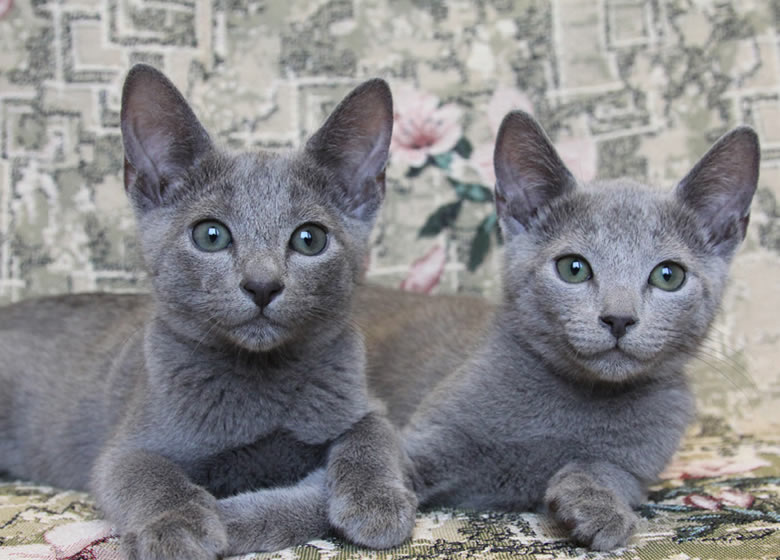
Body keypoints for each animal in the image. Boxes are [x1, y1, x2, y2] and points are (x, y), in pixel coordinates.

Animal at [0, 63, 418, 556]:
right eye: (211, 235)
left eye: (309, 238)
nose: (262, 284)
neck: (260, 379)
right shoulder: (125, 447)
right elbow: (149, 473)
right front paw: (178, 524)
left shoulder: (364, 401)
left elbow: (372, 432)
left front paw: (377, 499)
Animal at [356, 110, 760, 552]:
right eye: (573, 268)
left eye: (668, 276)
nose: (619, 318)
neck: (581, 401)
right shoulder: (427, 438)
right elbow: (370, 465)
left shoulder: (641, 468)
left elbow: (606, 470)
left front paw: (593, 504)